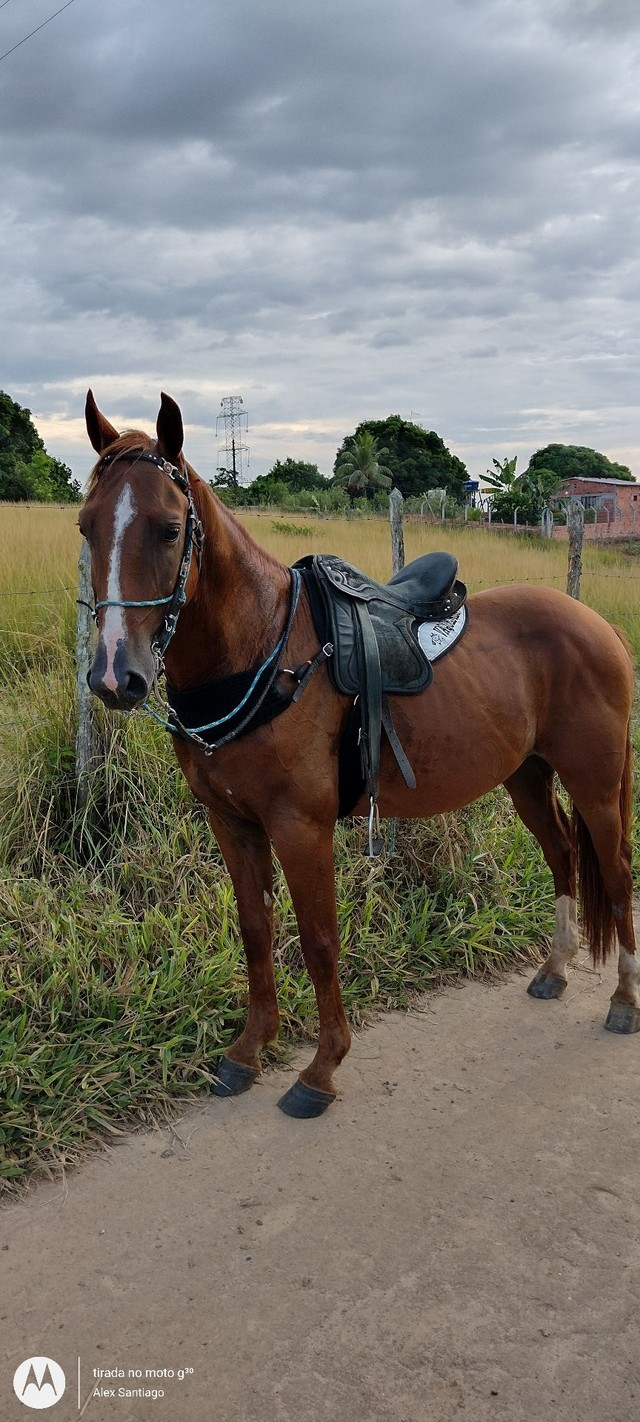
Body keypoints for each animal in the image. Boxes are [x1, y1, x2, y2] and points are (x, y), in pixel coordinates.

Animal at [81, 392, 640, 1120]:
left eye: (170, 529)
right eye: (87, 526)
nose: (115, 677)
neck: (263, 652)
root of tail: (596, 624)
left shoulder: (300, 827)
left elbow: (319, 942)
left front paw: (321, 1069)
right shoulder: (232, 824)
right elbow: (256, 929)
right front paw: (248, 1051)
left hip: (594, 783)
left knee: (618, 873)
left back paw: (624, 1000)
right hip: (528, 776)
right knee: (564, 856)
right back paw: (554, 969)